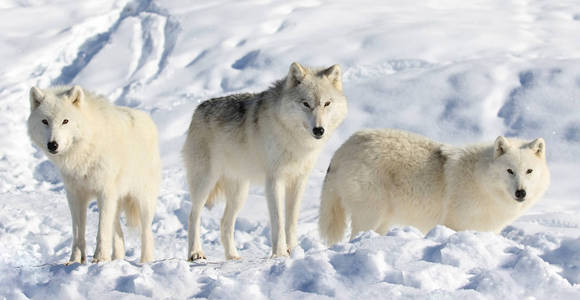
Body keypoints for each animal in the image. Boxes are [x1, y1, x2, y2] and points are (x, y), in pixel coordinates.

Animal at [184, 61, 346, 260]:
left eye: (327, 103)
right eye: (306, 104)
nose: (319, 130)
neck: (294, 139)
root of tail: (197, 110)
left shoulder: (298, 181)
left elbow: (291, 221)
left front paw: (293, 251)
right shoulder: (274, 181)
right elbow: (278, 221)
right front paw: (280, 254)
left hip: (239, 194)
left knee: (225, 223)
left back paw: (233, 257)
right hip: (205, 183)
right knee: (193, 216)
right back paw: (195, 253)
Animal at [320, 127, 552, 245]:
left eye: (529, 171)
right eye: (509, 171)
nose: (521, 193)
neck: (481, 181)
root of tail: (342, 148)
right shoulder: (454, 225)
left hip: (383, 220)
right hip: (370, 215)